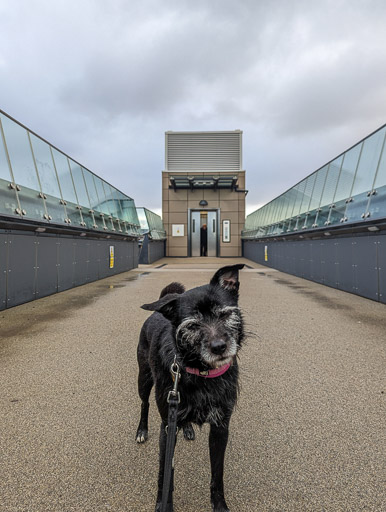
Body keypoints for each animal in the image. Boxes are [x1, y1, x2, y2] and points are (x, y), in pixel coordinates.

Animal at [136, 266, 244, 510]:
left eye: (224, 315)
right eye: (192, 325)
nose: (219, 347)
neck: (202, 374)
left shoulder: (221, 427)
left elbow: (217, 473)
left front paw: (219, 505)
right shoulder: (167, 428)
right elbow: (165, 473)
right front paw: (163, 505)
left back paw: (187, 428)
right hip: (144, 379)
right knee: (144, 404)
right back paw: (141, 430)